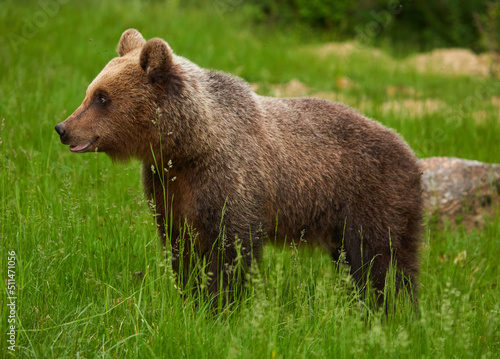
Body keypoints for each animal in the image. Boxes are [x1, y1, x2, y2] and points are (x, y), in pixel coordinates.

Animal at [54, 28, 422, 304]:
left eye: (102, 98)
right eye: (90, 92)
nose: (63, 128)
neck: (190, 145)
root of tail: (410, 151)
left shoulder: (230, 179)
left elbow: (231, 250)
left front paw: (222, 304)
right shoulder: (169, 185)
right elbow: (181, 247)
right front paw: (190, 295)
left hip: (371, 199)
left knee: (382, 263)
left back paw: (391, 309)